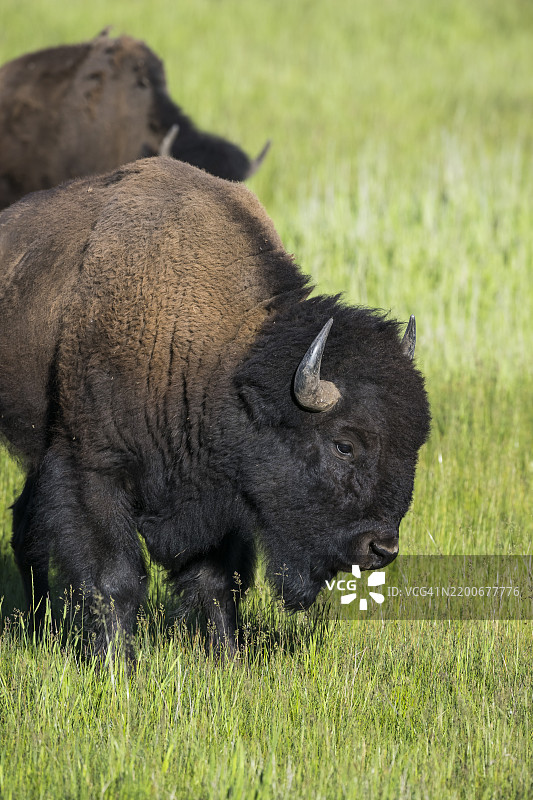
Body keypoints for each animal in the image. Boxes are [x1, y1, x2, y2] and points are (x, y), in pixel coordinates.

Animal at [0, 158, 430, 656]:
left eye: (414, 445)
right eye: (344, 444)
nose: (382, 549)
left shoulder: (222, 494)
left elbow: (218, 582)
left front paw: (228, 656)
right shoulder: (93, 469)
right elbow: (114, 580)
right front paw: (116, 665)